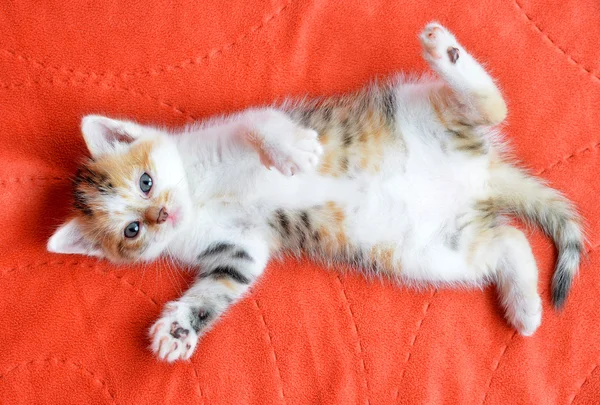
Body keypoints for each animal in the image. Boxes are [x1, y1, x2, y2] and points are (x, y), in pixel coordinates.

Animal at [47, 23, 580, 362]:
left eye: (146, 181)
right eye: (133, 230)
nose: (164, 215)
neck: (200, 196)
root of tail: (481, 176)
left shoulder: (230, 129)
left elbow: (261, 122)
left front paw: (293, 152)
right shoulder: (239, 246)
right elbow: (224, 282)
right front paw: (179, 330)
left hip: (424, 111)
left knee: (492, 107)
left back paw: (446, 52)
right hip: (435, 252)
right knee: (508, 241)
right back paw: (525, 307)